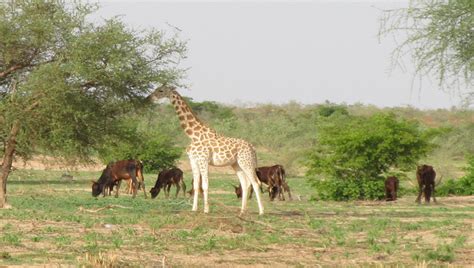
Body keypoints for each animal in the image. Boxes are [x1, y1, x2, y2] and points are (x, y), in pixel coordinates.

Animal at [148, 86, 264, 216]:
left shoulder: (203, 159)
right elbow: (196, 185)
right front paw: (194, 209)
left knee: (256, 183)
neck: (193, 135)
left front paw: (206, 210)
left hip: (246, 162)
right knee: (245, 183)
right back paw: (242, 211)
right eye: (156, 89)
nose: (149, 98)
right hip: (236, 164)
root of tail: (253, 148)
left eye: (161, 91)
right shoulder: (193, 160)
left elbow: (205, 185)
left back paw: (261, 211)